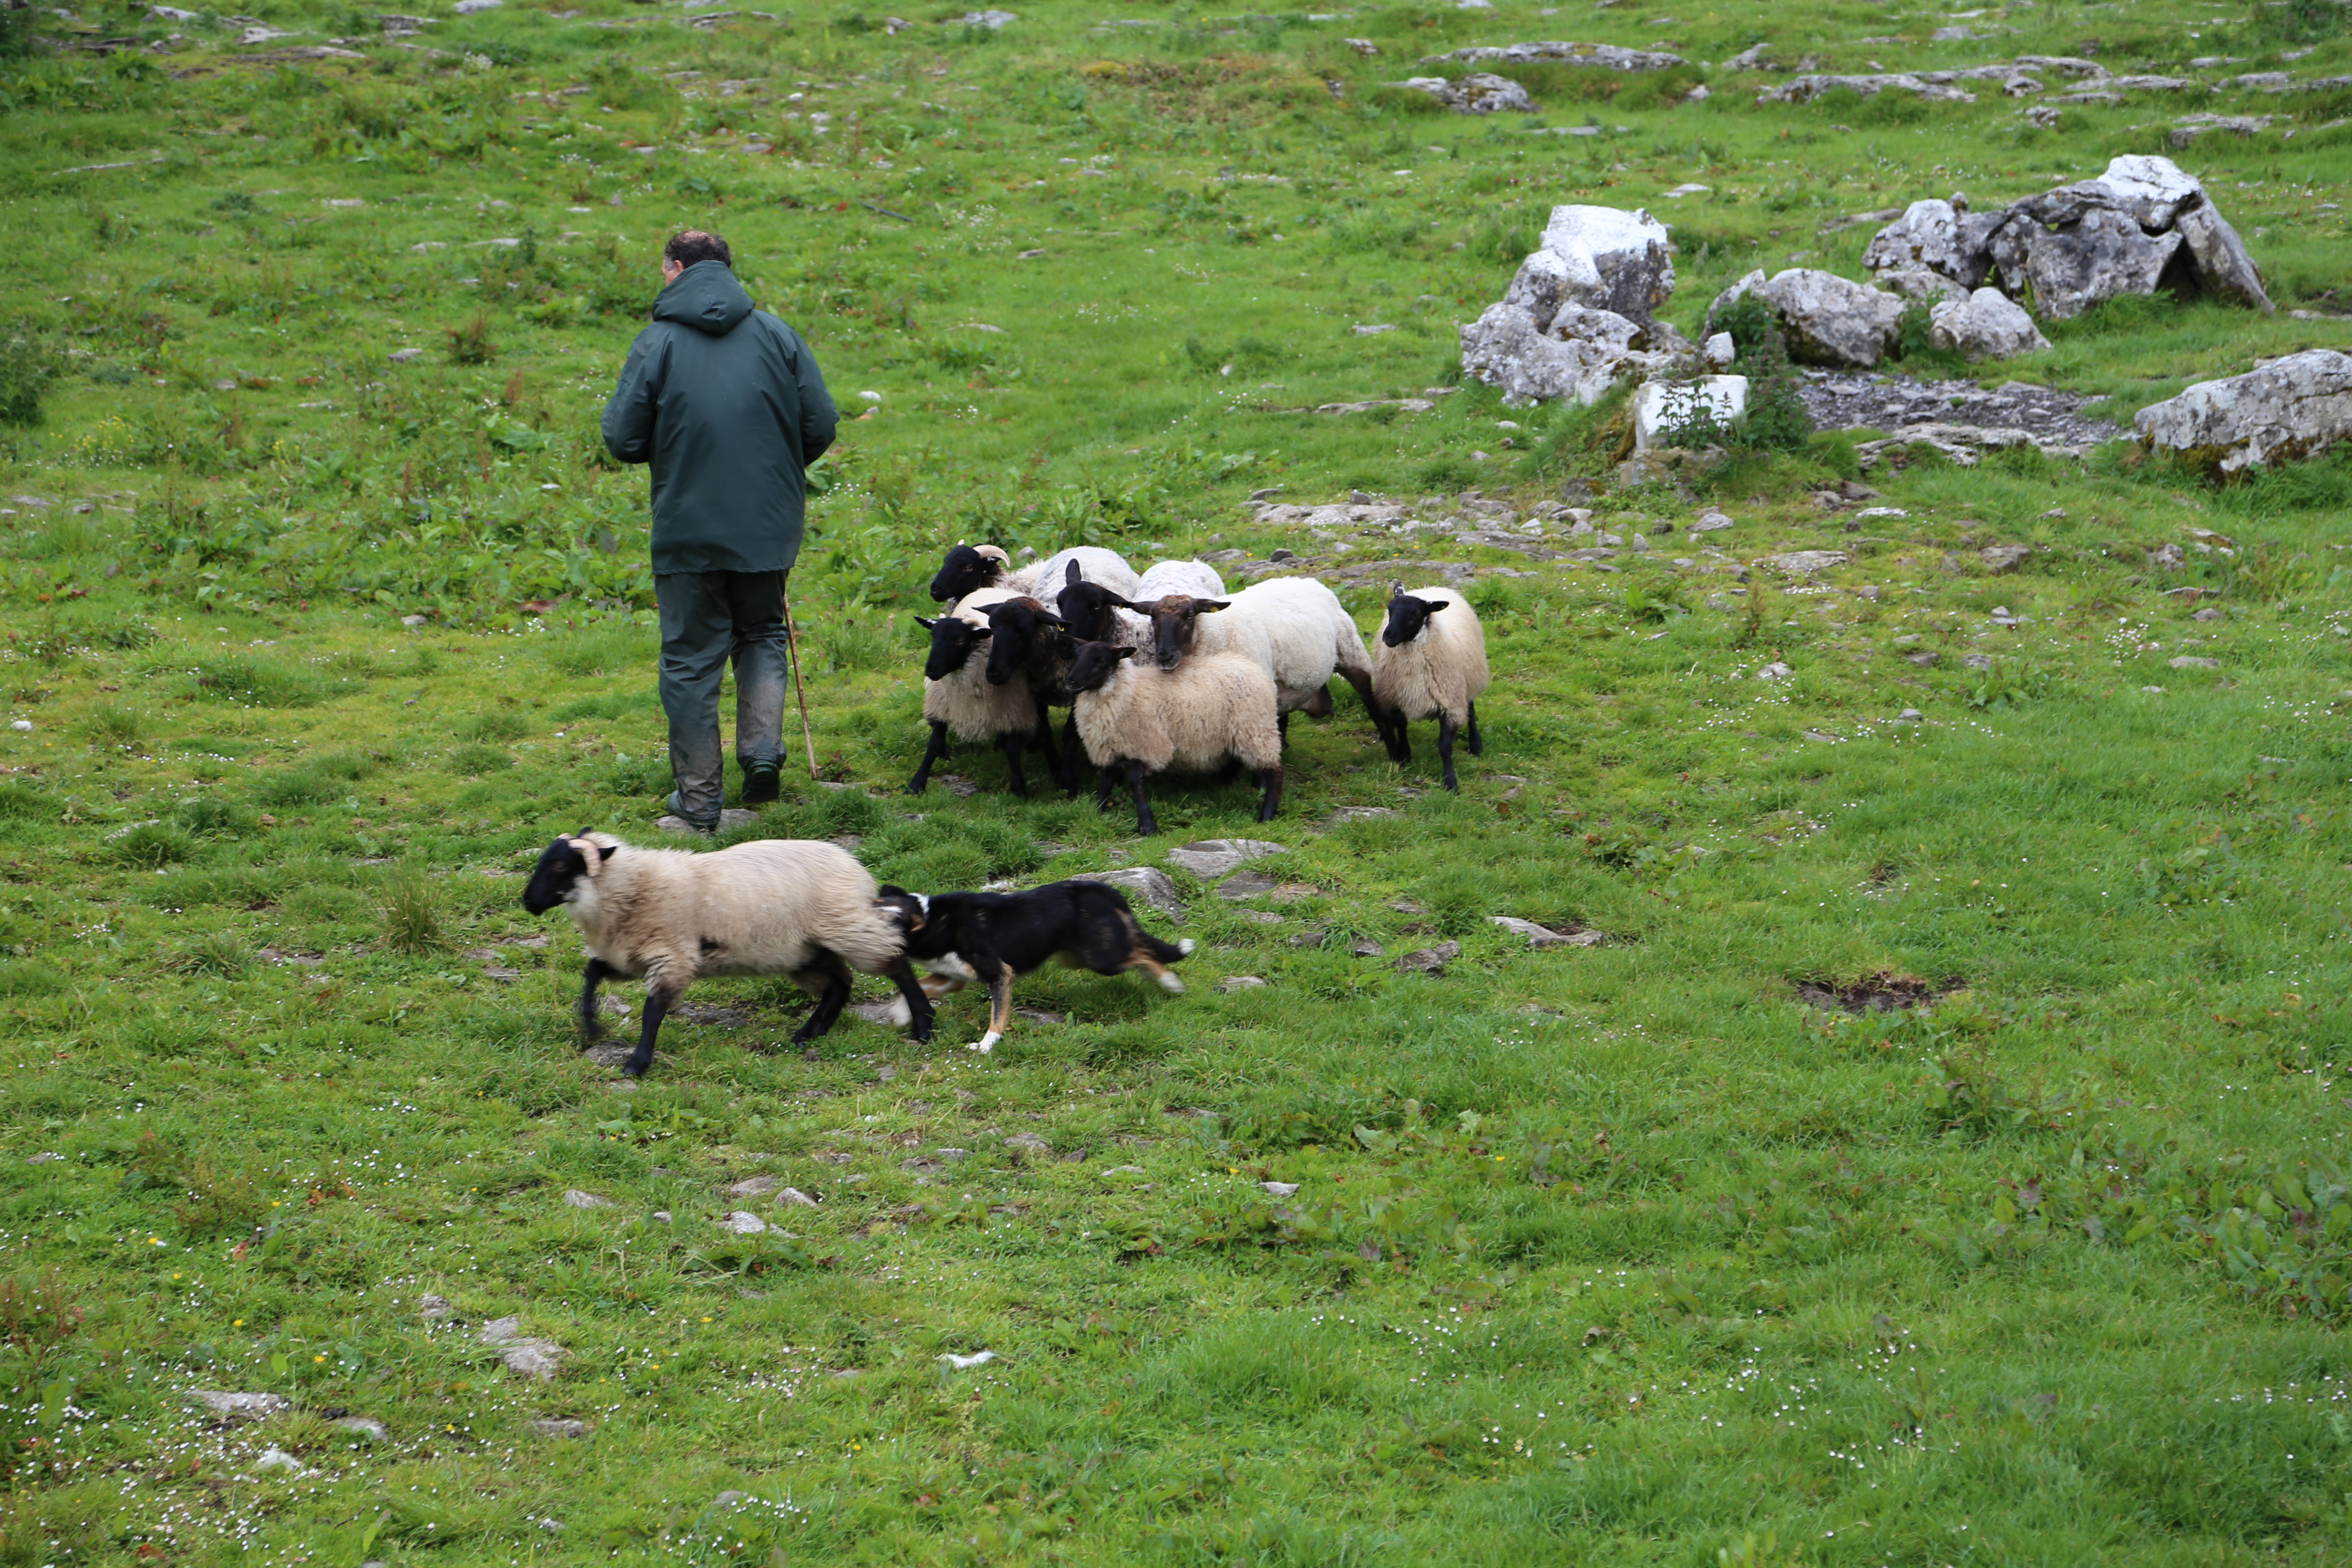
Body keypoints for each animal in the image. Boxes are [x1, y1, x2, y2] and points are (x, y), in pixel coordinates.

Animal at [524, 832, 936, 1081]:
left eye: (561, 865)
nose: (528, 903)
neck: (634, 888)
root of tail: (857, 868)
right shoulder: (633, 956)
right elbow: (593, 971)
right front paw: (592, 1026)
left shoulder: (673, 957)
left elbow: (651, 1013)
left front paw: (637, 1064)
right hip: (806, 950)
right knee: (841, 984)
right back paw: (810, 1033)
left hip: (846, 928)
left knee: (895, 963)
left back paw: (923, 1024)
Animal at [908, 583, 1058, 799]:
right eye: (933, 636)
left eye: (960, 641)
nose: (931, 671)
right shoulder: (944, 704)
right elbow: (934, 744)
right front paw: (917, 783)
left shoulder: (1013, 709)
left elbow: (1013, 749)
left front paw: (1020, 789)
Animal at [1068, 639, 1289, 841]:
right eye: (1076, 657)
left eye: (1101, 660)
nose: (1071, 683)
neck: (1129, 691)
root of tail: (1253, 667)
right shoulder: (1111, 750)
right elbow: (1106, 782)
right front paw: (1099, 813)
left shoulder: (1151, 748)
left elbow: (1134, 781)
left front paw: (1147, 825)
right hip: (1235, 735)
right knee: (1236, 762)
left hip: (1255, 730)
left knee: (1276, 772)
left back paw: (1266, 816)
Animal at [1364, 583, 1486, 790]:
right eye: (1390, 609)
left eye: (1416, 614)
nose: (1388, 637)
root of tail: (1429, 589)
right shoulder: (1397, 698)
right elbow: (1401, 725)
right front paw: (1404, 756)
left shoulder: (1449, 703)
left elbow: (1445, 746)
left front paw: (1450, 781)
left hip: (1468, 678)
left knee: (1470, 707)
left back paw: (1476, 745)